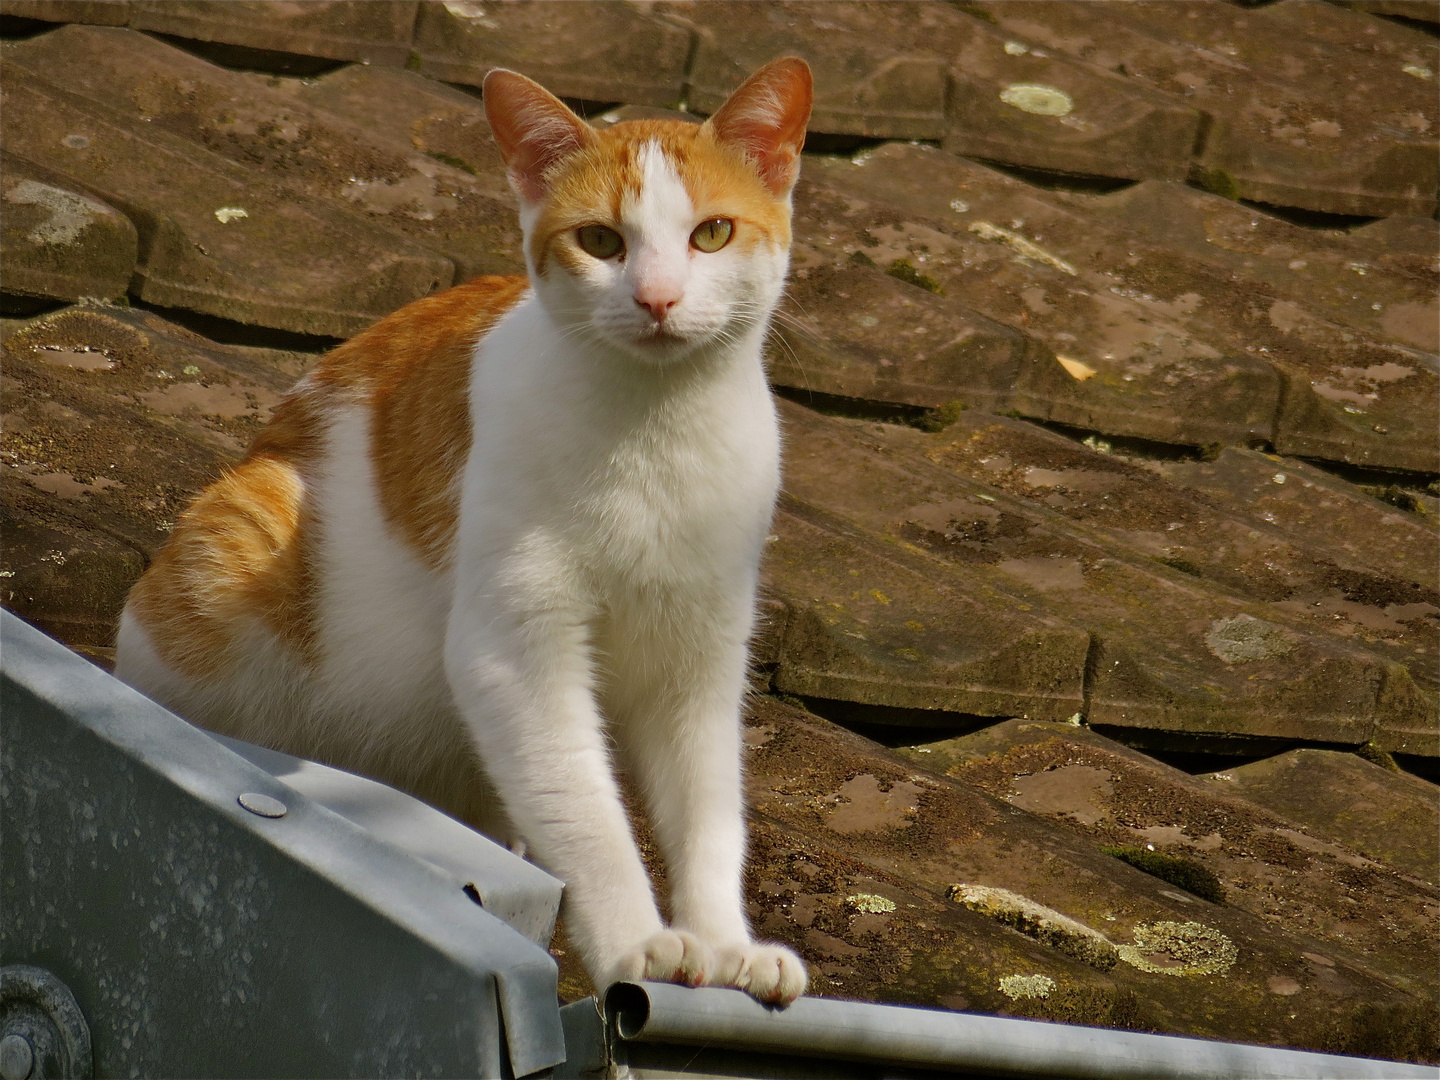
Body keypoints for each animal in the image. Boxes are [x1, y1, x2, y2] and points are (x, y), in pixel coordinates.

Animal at [115, 59, 812, 1008]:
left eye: (712, 233)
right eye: (601, 241)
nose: (658, 298)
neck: (655, 432)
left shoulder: (699, 657)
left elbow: (709, 813)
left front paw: (729, 947)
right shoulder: (516, 650)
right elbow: (587, 810)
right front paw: (637, 943)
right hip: (249, 528)